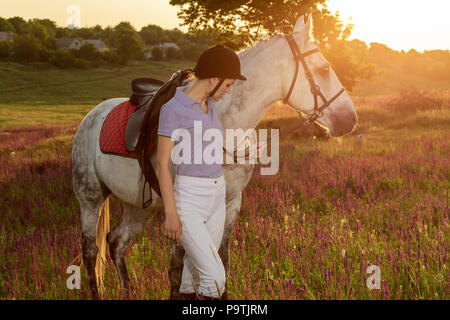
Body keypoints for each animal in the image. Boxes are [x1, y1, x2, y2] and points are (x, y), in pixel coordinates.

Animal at [71, 15, 358, 300]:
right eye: (324, 69)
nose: (350, 119)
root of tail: (93, 115)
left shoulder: (230, 203)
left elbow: (221, 263)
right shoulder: (181, 211)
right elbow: (177, 272)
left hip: (140, 206)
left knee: (116, 242)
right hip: (91, 199)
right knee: (91, 251)